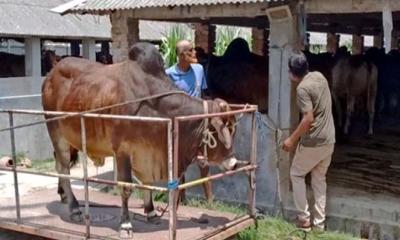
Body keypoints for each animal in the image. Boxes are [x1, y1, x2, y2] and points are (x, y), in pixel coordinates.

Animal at [41, 41, 238, 236]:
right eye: (223, 130)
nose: (234, 163)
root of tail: (51, 74)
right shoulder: (122, 151)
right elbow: (126, 186)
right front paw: (125, 224)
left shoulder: (146, 152)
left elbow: (147, 183)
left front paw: (150, 212)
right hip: (56, 134)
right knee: (63, 168)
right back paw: (74, 208)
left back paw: (63, 195)